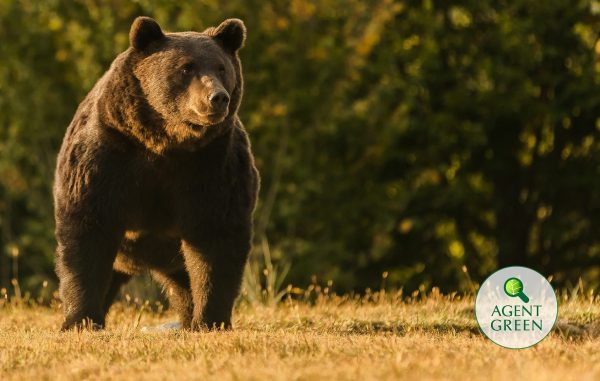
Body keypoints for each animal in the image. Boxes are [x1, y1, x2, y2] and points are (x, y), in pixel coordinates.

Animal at [55, 16, 260, 328]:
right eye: (186, 67)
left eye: (221, 67)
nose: (217, 98)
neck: (165, 142)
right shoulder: (107, 156)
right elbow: (87, 229)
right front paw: (81, 319)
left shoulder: (213, 165)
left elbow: (216, 236)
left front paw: (210, 319)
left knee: (184, 283)